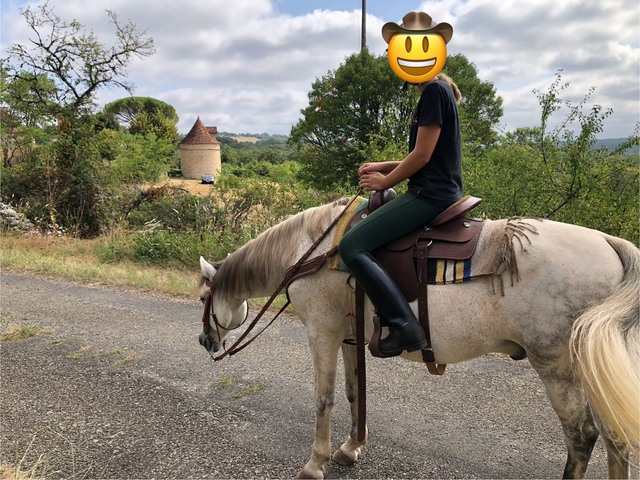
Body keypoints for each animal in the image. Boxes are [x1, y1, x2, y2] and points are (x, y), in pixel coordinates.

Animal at [196, 197, 639, 479]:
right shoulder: (349, 335)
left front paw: (315, 463)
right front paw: (351, 448)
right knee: (615, 438)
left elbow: (324, 399)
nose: (205, 343)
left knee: (582, 436)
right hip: (590, 368)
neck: (312, 251)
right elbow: (355, 393)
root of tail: (607, 242)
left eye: (203, 298)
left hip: (556, 365)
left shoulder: (322, 332)